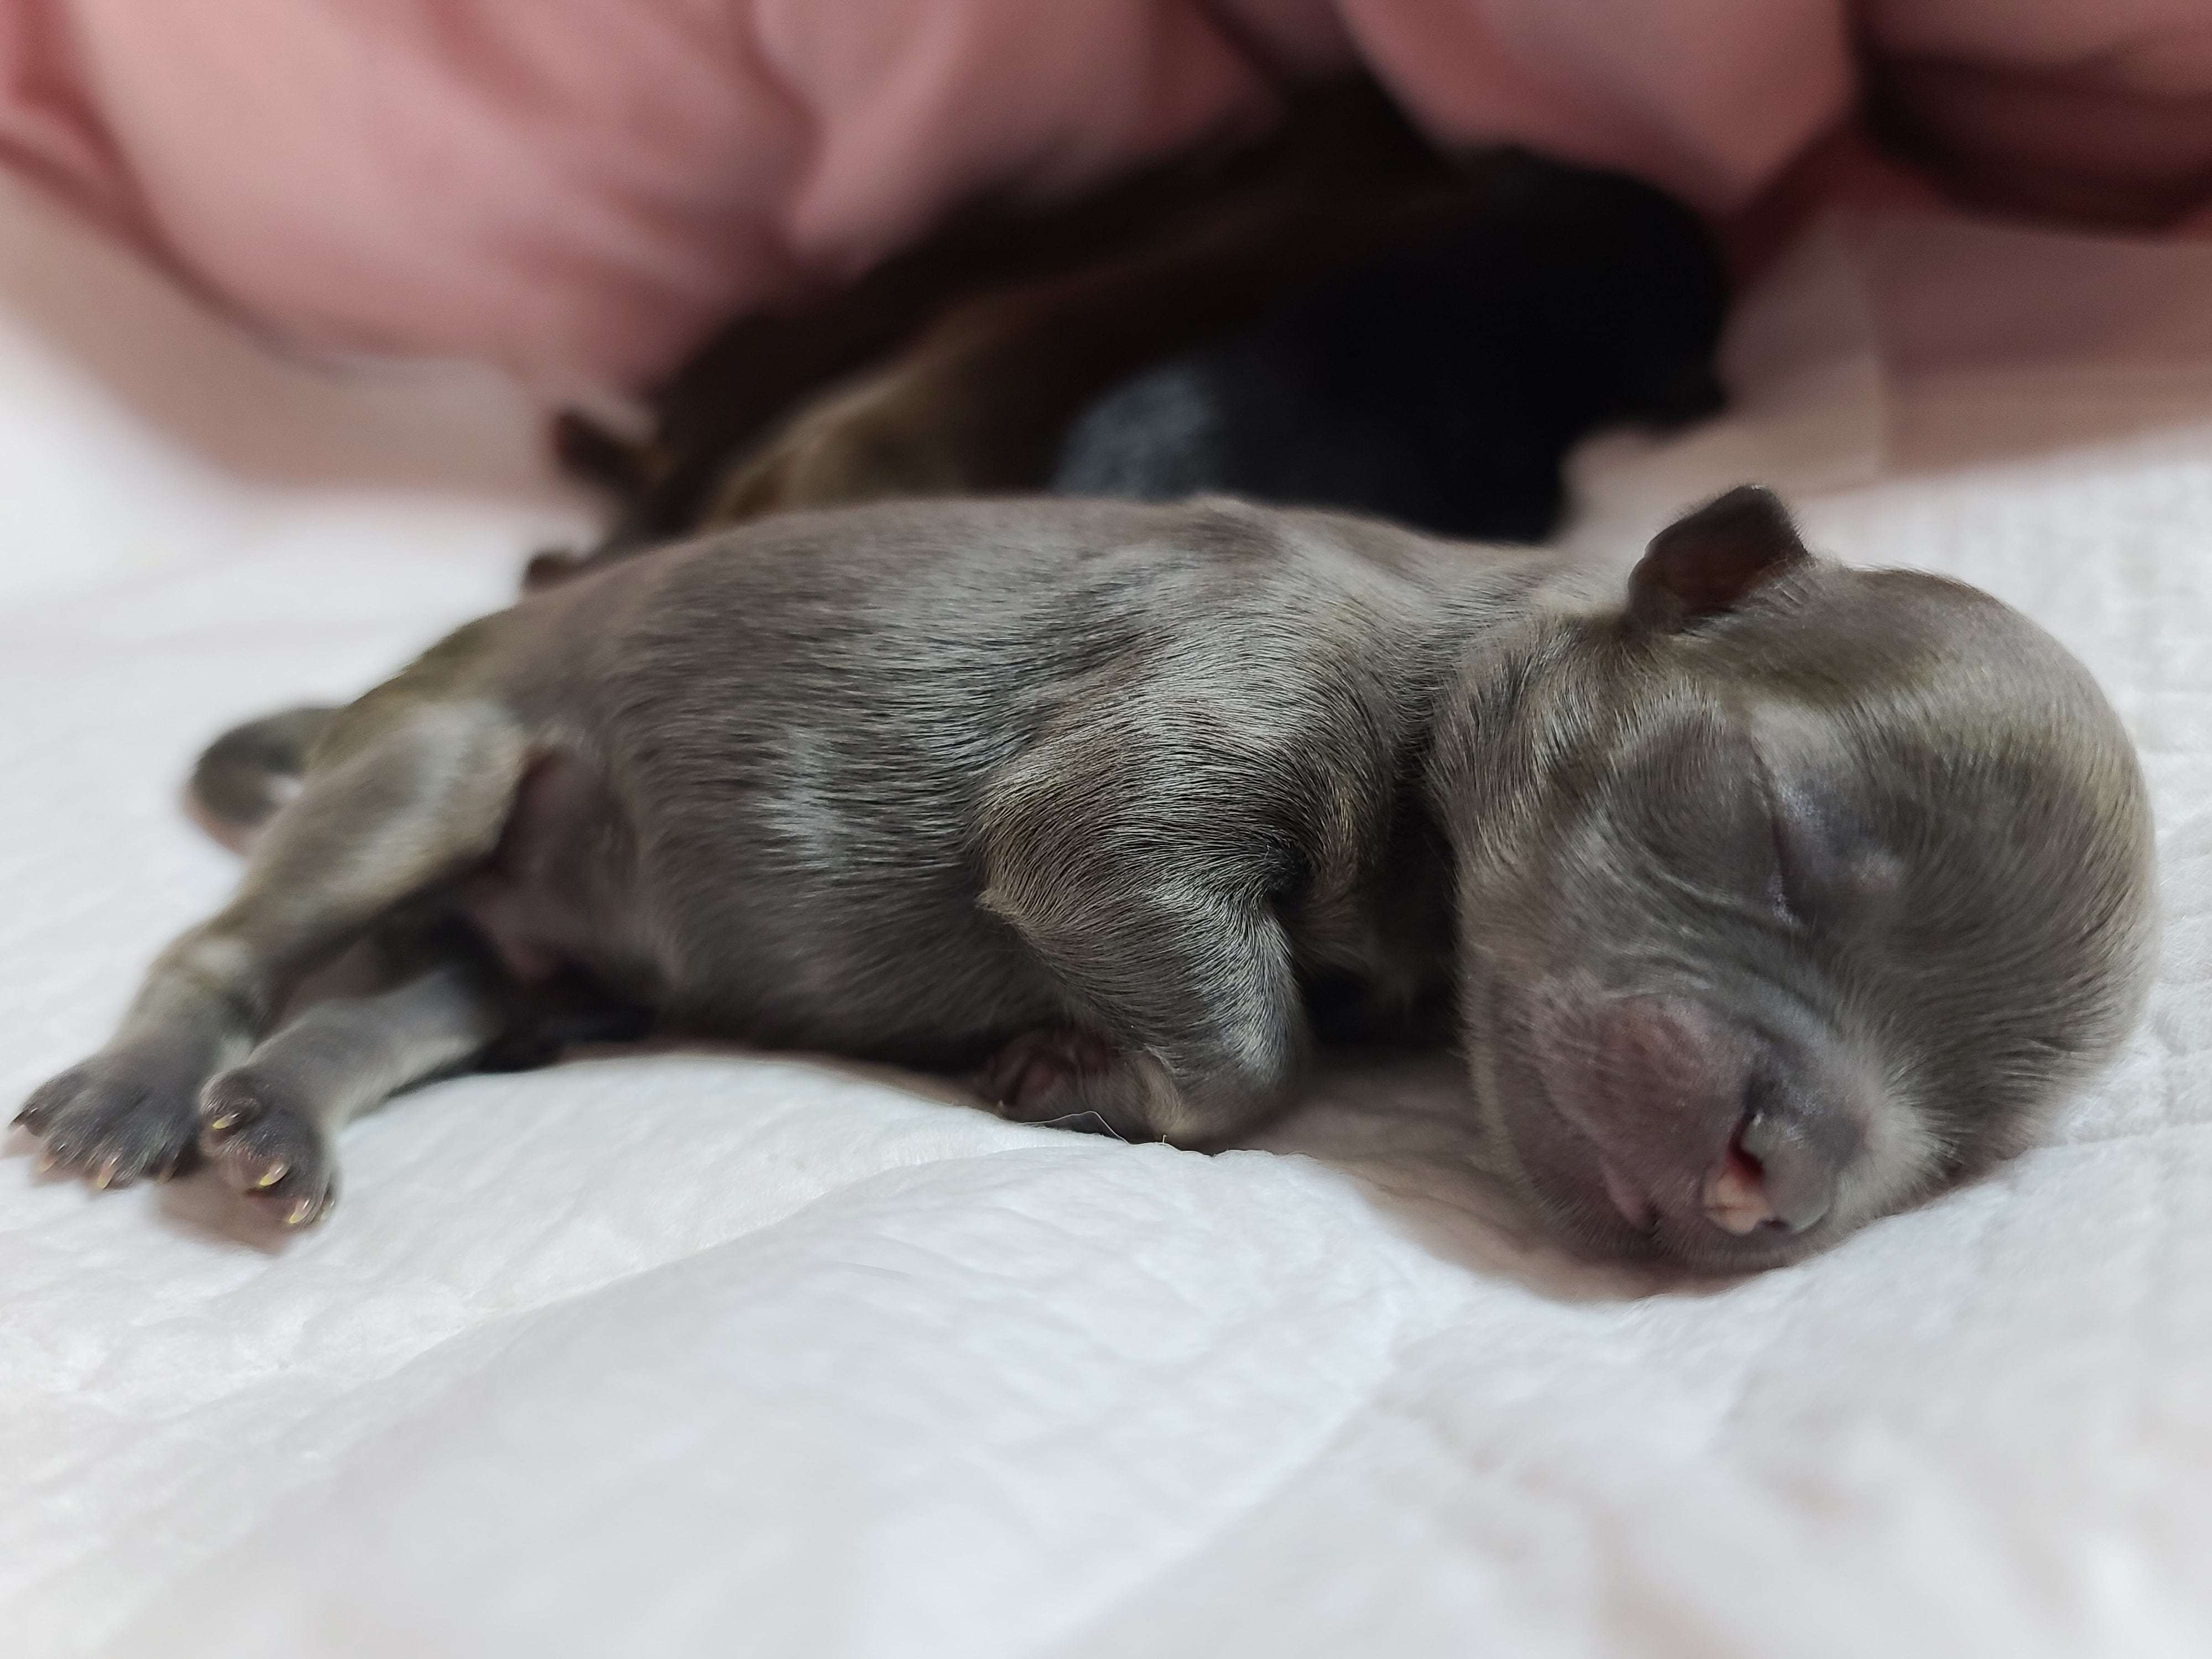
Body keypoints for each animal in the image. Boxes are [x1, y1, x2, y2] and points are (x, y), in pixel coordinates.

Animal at [16, 487, 2156, 1270]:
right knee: (223, 946)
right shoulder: (1164, 755)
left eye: (1953, 1151)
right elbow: (1253, 1031)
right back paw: (140, 1092)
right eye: (1771, 837)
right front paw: (1080, 1080)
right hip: (443, 761)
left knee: (384, 1012)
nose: (1770, 1171)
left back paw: (280, 1123)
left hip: (527, 976)